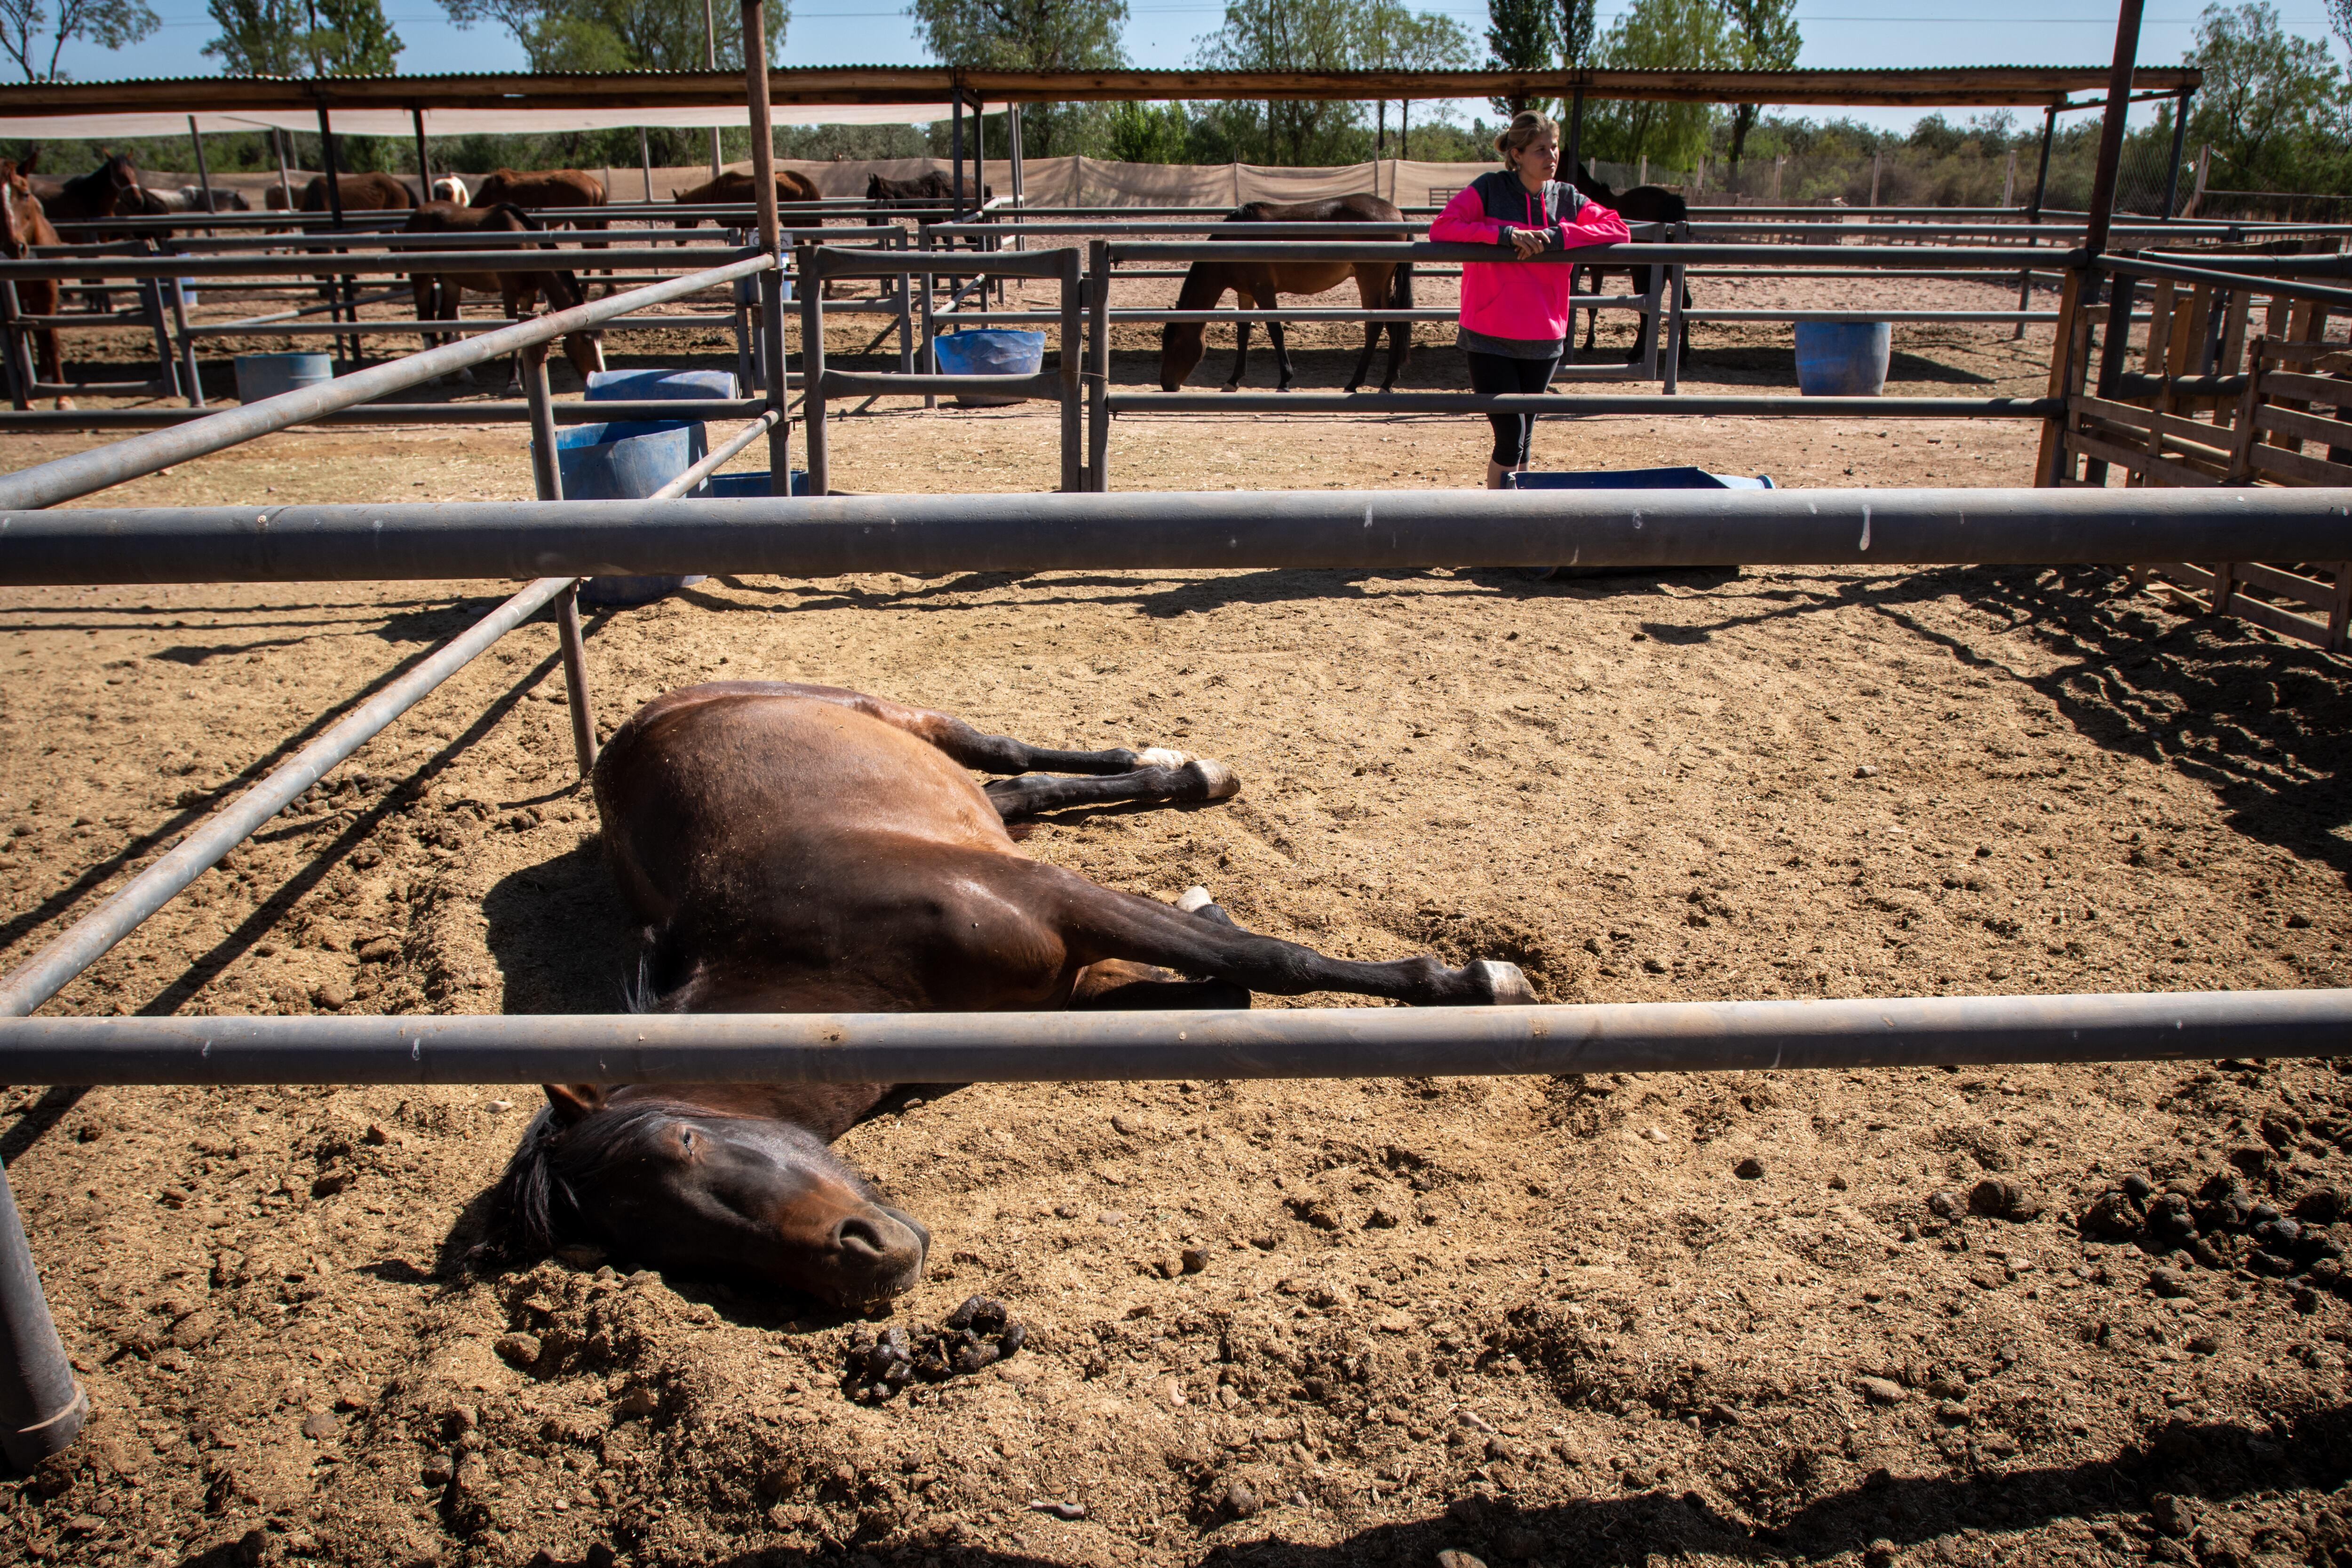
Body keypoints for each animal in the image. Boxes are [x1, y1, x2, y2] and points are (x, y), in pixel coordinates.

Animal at [405, 201, 607, 390]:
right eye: (586, 341)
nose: (599, 374)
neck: (526, 249)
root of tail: (416, 215)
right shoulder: (509, 292)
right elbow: (513, 331)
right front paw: (514, 382)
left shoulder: (529, 295)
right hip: (422, 280)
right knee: (425, 319)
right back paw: (434, 379)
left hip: (451, 282)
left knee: (445, 319)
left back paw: (462, 373)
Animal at [487, 686, 1534, 1316]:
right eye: (647, 1249)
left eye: (683, 1141)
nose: (860, 1260)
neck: (822, 954)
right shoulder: (1069, 985)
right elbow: (1230, 980)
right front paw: (1211, 902)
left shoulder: (1063, 900)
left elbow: (1272, 960)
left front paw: (1469, 981)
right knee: (1015, 789)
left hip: (890, 713)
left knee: (1008, 747)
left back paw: (1188, 771)